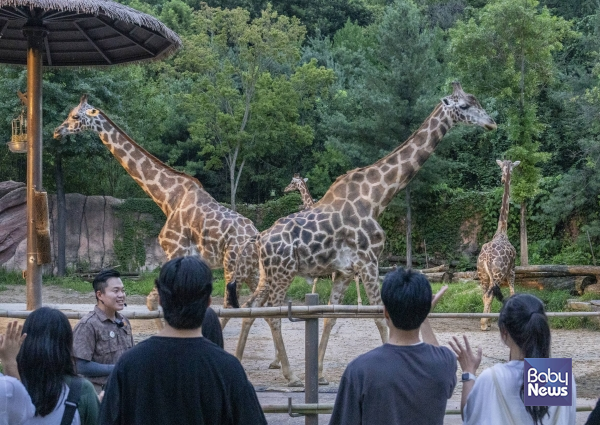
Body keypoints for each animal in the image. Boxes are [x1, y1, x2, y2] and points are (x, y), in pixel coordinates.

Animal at [55, 96, 260, 328]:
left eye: (75, 116)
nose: (57, 131)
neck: (167, 198)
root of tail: (256, 236)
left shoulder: (176, 250)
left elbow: (155, 302)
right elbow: (154, 302)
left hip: (232, 266)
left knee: (231, 307)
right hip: (251, 270)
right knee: (259, 306)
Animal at [230, 81, 496, 386]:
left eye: (477, 101)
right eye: (463, 105)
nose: (492, 122)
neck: (377, 198)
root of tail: (260, 239)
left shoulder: (346, 270)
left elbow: (330, 317)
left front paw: (320, 374)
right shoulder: (369, 261)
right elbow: (380, 317)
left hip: (268, 273)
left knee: (250, 308)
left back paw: (239, 361)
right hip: (283, 272)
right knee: (272, 315)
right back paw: (292, 375)